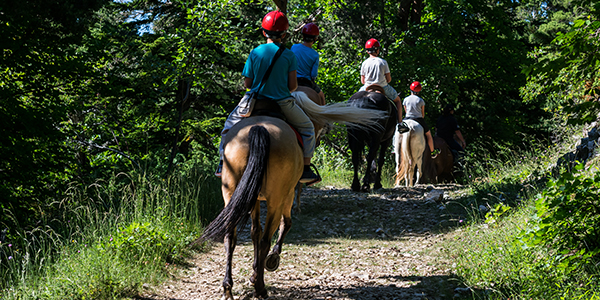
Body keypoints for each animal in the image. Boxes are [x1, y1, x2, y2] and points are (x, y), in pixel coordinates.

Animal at [195, 92, 386, 300]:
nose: (325, 130)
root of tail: (259, 128)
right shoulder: (287, 195)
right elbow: (285, 224)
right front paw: (270, 261)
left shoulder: (253, 200)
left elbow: (255, 232)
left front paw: (255, 270)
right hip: (276, 199)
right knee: (266, 239)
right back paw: (260, 288)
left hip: (231, 194)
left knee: (231, 235)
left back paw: (228, 288)